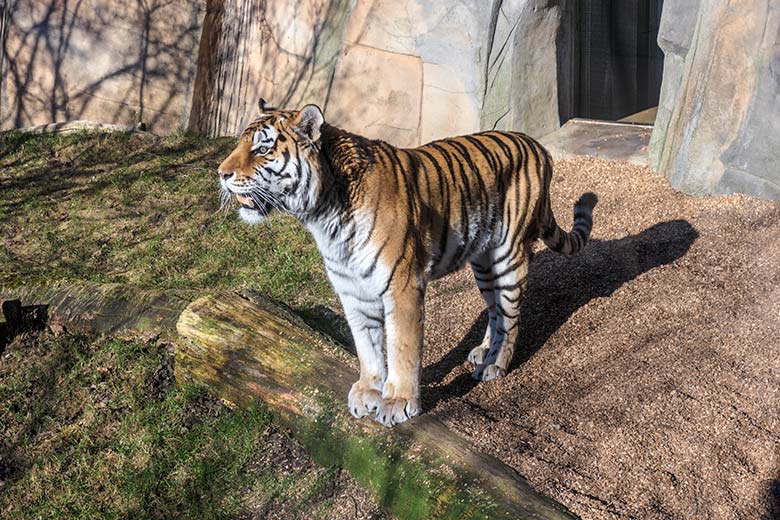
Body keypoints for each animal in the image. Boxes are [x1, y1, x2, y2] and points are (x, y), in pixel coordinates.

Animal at [218, 100, 596, 426]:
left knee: (510, 317)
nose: (221, 173)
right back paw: (483, 351)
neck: (324, 215)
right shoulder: (352, 290)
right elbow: (367, 346)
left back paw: (495, 365)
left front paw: (398, 402)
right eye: (239, 145)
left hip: (507, 255)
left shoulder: (402, 285)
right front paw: (368, 391)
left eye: (262, 149)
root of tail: (537, 145)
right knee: (495, 310)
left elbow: (401, 347)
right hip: (483, 261)